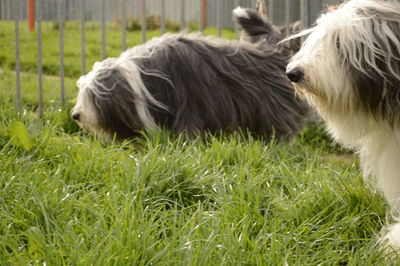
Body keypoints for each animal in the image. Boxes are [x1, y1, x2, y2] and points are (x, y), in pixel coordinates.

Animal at [72, 7, 308, 141]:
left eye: (93, 98)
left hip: (273, 106)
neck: (144, 79)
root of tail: (275, 48)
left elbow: (189, 131)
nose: (75, 115)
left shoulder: (189, 103)